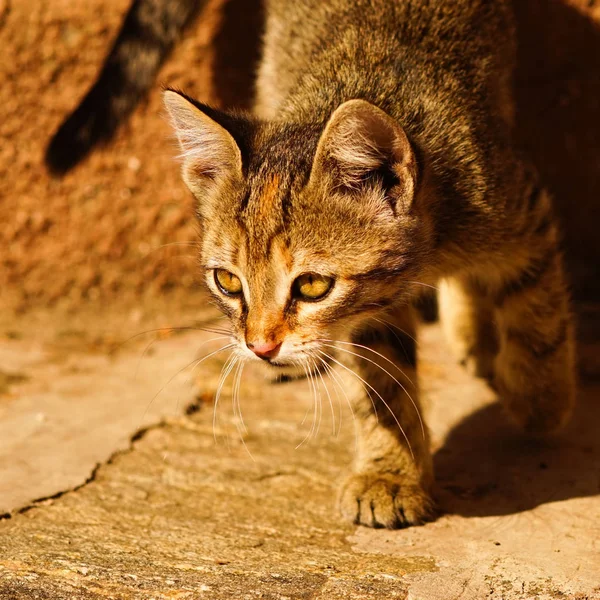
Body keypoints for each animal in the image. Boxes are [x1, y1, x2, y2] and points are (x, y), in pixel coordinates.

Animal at [159, 0, 576, 528]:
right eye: (228, 282)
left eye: (312, 285)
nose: (260, 347)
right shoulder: (370, 311)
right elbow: (384, 386)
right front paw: (390, 475)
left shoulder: (519, 210)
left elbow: (537, 313)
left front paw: (538, 401)